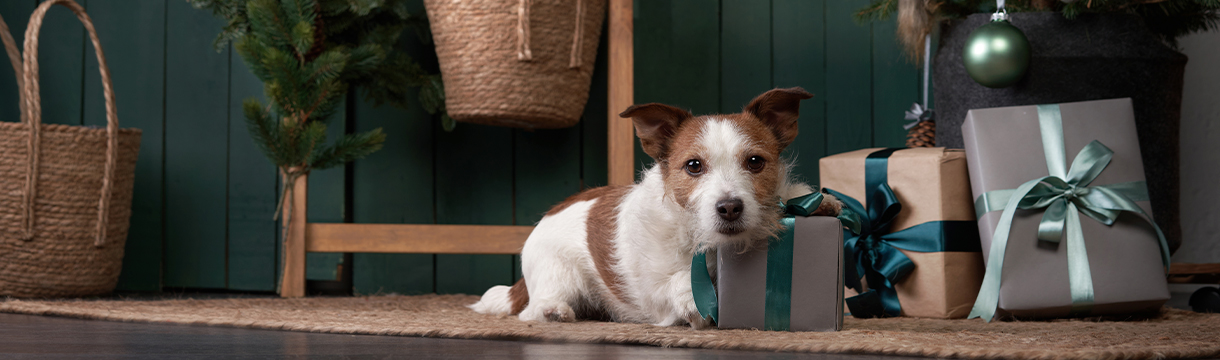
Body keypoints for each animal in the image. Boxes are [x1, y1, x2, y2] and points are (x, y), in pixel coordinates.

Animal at [466, 88, 839, 329]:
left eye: (755, 162)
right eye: (693, 166)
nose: (730, 207)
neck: (702, 238)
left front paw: (817, 200)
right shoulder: (653, 292)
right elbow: (676, 282)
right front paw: (692, 298)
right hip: (560, 274)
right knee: (532, 309)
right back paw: (552, 311)